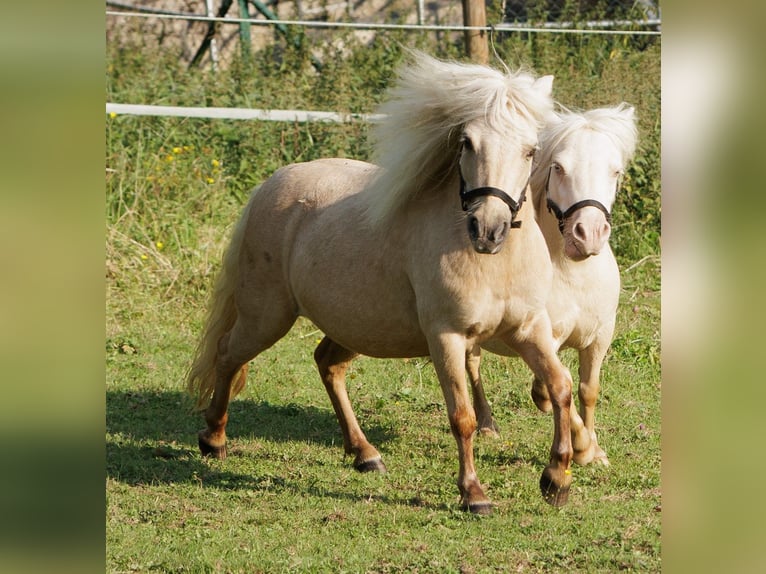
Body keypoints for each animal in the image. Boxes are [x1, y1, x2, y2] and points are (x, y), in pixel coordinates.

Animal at [187, 51, 582, 514]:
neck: (495, 265)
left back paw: (364, 454)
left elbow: (561, 387)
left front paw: (557, 480)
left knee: (327, 364)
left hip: (353, 325)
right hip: (267, 317)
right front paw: (474, 493)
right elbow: (462, 416)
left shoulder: (529, 330)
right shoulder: (447, 338)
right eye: (467, 142)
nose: (488, 230)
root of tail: (270, 185)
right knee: (228, 353)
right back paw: (214, 439)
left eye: (530, 150)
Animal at [469, 104, 639, 466]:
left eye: (615, 171)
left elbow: (588, 389)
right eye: (559, 167)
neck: (575, 278)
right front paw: (583, 448)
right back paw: (487, 425)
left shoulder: (600, 337)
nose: (588, 234)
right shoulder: (544, 337)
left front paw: (596, 450)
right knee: (472, 365)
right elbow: (559, 386)